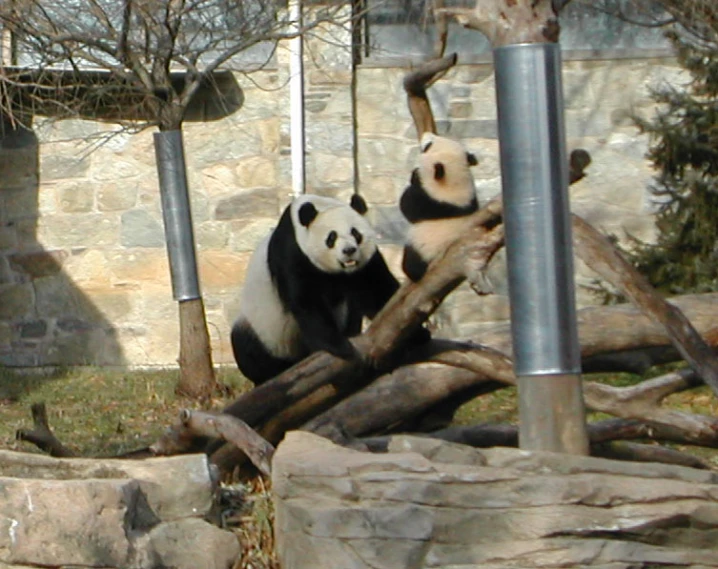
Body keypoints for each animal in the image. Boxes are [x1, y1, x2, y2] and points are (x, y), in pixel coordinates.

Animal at [233, 193, 404, 384]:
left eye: (355, 233)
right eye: (331, 238)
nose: (349, 251)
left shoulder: (365, 263)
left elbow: (377, 289)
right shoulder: (292, 254)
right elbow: (307, 302)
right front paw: (341, 347)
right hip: (263, 329)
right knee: (247, 349)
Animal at [402, 131, 480, 282]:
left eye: (428, 146)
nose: (427, 133)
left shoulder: (432, 201)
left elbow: (408, 207)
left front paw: (415, 176)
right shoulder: (470, 200)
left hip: (421, 245)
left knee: (413, 261)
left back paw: (411, 271)